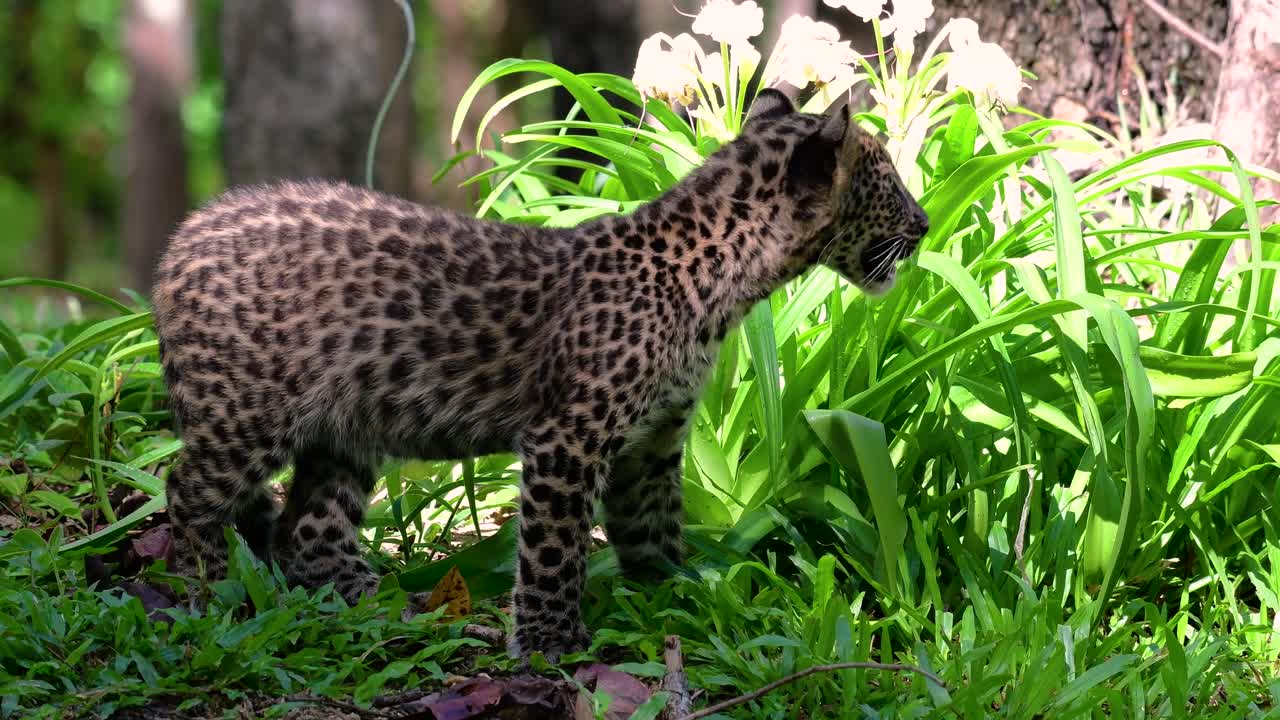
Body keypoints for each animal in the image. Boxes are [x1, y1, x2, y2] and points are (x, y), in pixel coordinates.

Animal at [151, 88, 929, 661]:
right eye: (889, 182)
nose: (923, 224)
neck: (726, 284)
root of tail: (183, 237)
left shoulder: (653, 445)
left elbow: (653, 529)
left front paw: (678, 596)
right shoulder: (568, 438)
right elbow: (556, 550)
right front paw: (553, 642)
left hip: (345, 424)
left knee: (309, 528)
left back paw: (376, 598)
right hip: (247, 411)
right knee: (187, 490)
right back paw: (212, 590)